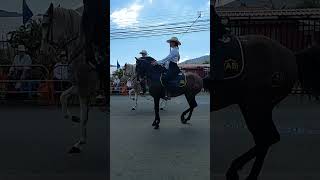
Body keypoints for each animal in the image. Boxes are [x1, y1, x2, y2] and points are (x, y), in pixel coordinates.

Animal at [39, 3, 99, 153]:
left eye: (45, 24)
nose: (42, 51)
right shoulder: (79, 86)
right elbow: (63, 96)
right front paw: (71, 116)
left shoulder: (83, 89)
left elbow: (84, 116)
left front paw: (80, 142)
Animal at [204, 5, 320, 180]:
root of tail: (292, 55)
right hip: (258, 107)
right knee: (266, 139)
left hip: (255, 106)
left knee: (267, 138)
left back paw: (236, 171)